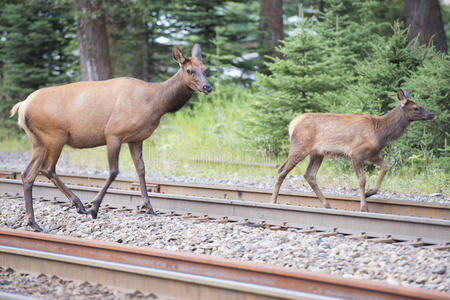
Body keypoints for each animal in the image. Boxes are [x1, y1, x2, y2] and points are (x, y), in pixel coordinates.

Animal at [10, 43, 213, 231]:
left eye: (205, 69)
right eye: (189, 70)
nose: (207, 87)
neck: (156, 104)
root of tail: (21, 107)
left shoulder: (136, 138)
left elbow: (141, 169)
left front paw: (149, 207)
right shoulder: (113, 133)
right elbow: (114, 171)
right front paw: (95, 208)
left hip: (38, 142)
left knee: (28, 174)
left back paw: (35, 222)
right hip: (55, 136)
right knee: (47, 169)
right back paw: (78, 206)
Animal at [272, 89, 434, 211]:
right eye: (416, 107)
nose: (432, 114)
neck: (381, 133)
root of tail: (291, 124)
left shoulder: (373, 154)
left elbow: (385, 166)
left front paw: (370, 192)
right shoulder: (356, 153)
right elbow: (362, 179)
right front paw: (364, 206)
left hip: (317, 153)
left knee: (309, 175)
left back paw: (327, 204)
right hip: (300, 147)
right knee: (282, 170)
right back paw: (273, 202)